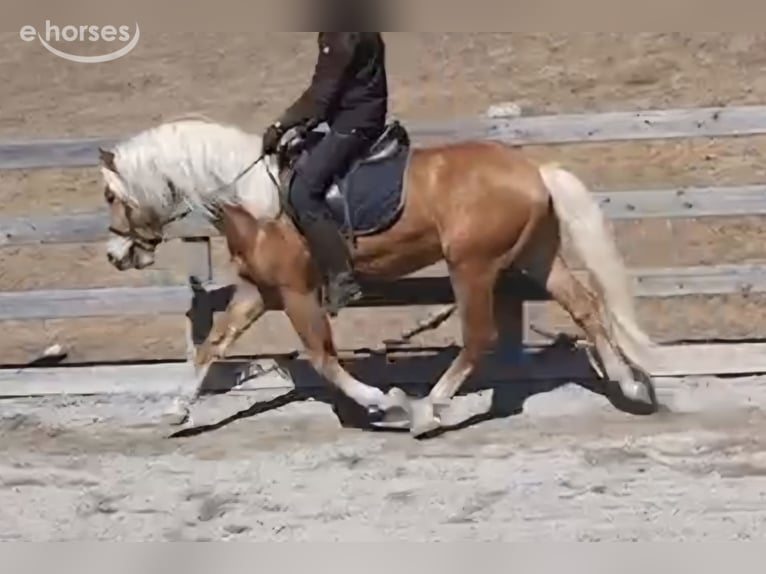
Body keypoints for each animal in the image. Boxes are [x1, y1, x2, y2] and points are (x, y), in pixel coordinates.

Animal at [99, 116, 659, 437]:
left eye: (109, 194)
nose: (115, 254)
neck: (254, 200)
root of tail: (532, 171)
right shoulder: (258, 291)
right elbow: (213, 345)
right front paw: (175, 411)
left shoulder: (299, 293)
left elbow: (322, 358)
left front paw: (386, 404)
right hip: (536, 256)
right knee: (585, 307)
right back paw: (630, 386)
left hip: (472, 266)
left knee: (479, 337)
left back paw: (427, 410)